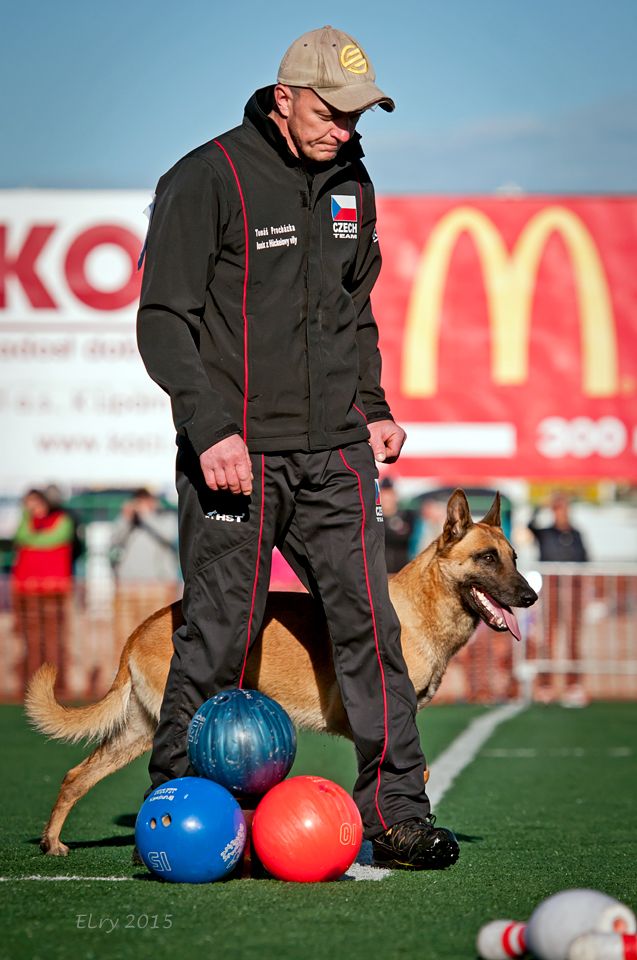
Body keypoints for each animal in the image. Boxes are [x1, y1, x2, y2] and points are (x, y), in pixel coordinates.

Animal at [24, 488, 536, 856]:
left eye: (513, 557)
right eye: (486, 558)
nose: (531, 597)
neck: (421, 605)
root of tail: (140, 628)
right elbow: (417, 768)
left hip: (137, 731)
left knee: (75, 776)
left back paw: (52, 842)